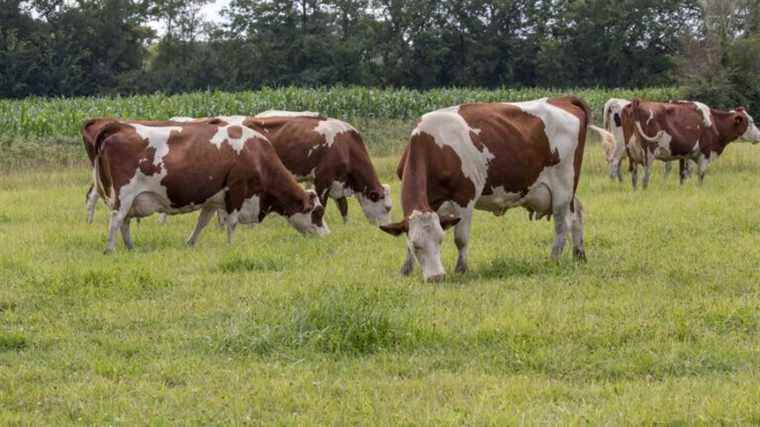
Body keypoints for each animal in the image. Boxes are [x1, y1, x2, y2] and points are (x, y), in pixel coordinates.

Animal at [87, 119, 330, 254]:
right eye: (317, 213)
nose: (328, 236)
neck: (257, 155)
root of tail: (120, 126)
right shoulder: (237, 190)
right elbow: (232, 223)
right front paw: (231, 247)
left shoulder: (213, 199)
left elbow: (201, 222)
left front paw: (190, 243)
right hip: (124, 194)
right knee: (116, 220)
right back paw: (111, 249)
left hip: (131, 199)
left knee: (125, 222)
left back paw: (131, 248)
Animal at [380, 98, 604, 284]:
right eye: (416, 246)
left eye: (440, 241)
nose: (437, 277)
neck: (435, 145)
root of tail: (562, 99)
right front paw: (405, 270)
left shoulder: (465, 197)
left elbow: (461, 238)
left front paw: (461, 270)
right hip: (569, 190)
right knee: (577, 213)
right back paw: (579, 255)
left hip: (562, 187)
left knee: (562, 225)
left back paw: (553, 260)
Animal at [620, 100, 760, 189]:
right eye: (751, 122)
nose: (759, 135)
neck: (714, 122)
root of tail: (637, 103)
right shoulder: (705, 153)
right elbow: (701, 175)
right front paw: (700, 189)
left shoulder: (687, 155)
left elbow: (683, 174)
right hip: (648, 154)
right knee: (645, 177)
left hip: (631, 154)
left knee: (634, 176)